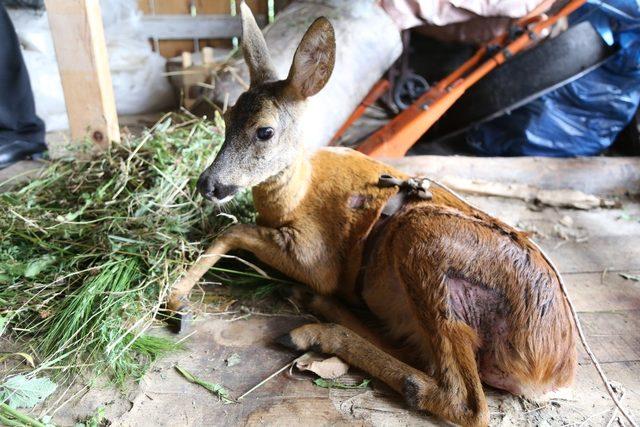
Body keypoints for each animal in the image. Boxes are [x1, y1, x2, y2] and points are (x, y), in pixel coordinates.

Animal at [168, 2, 576, 424]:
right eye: (227, 118)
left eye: (264, 131)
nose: (209, 184)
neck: (295, 197)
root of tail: (551, 370)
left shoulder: (317, 256)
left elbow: (232, 232)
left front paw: (177, 299)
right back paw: (317, 308)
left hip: (424, 241)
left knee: (465, 401)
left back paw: (315, 332)